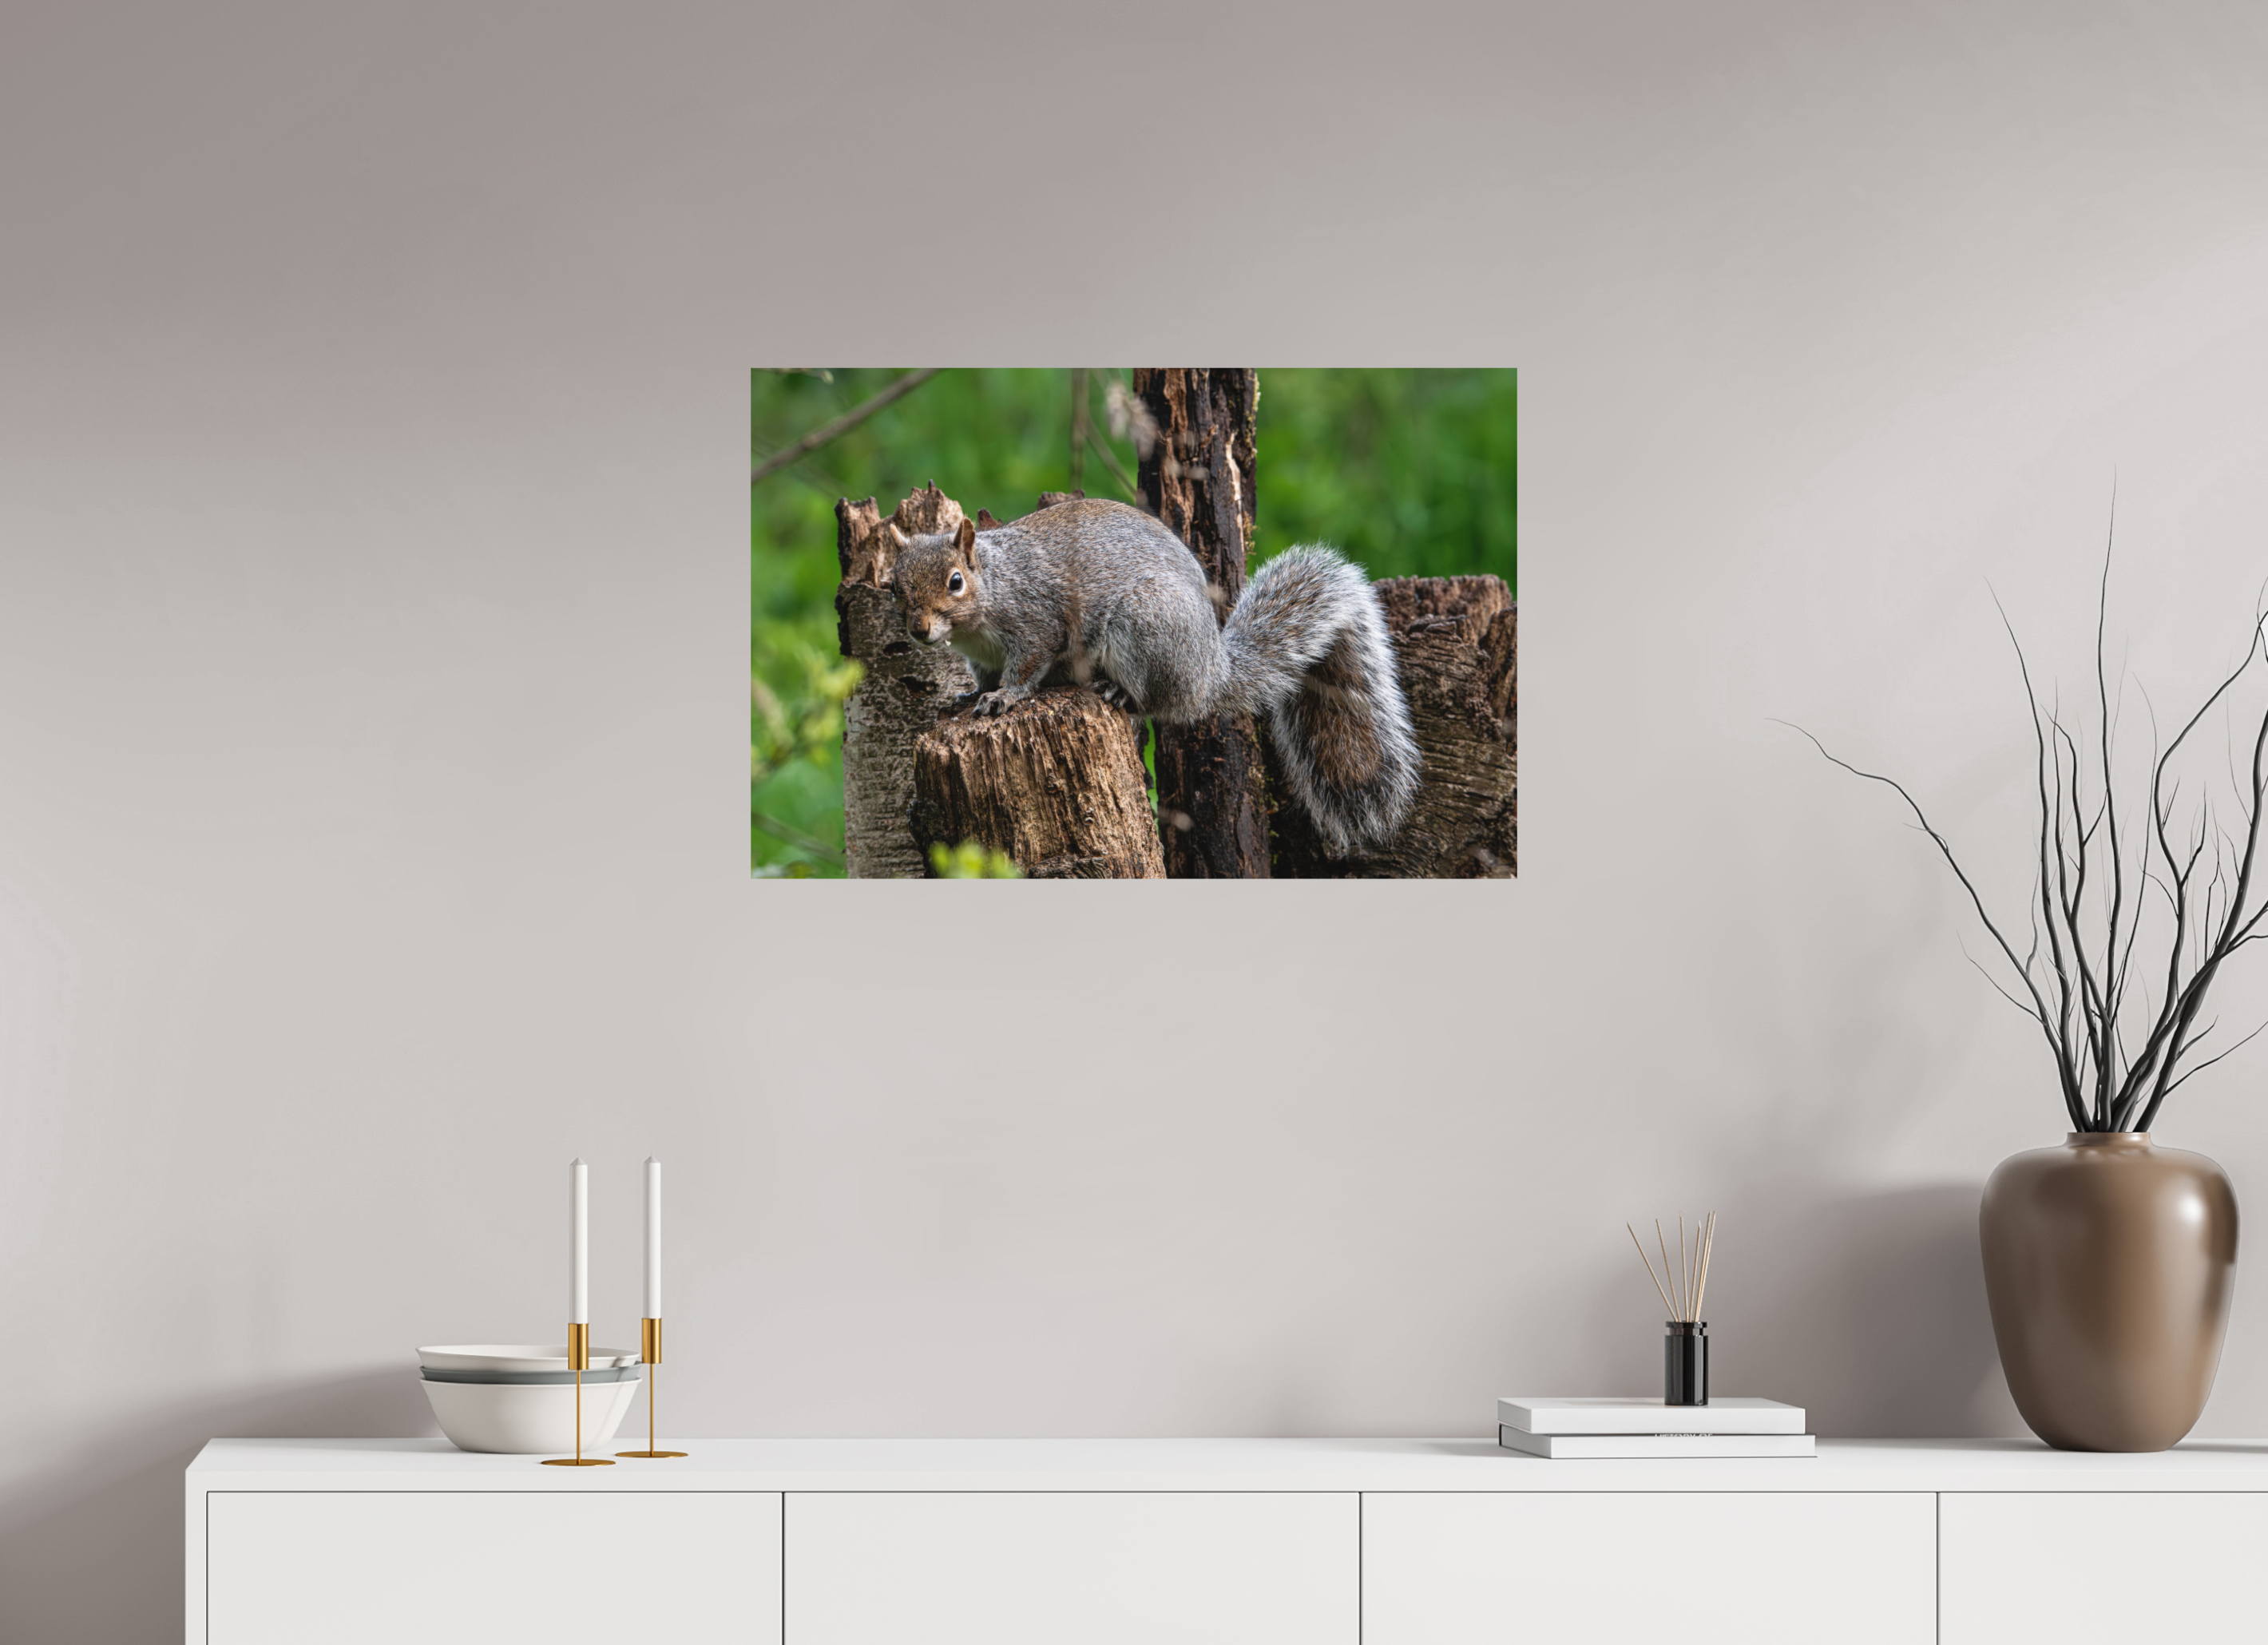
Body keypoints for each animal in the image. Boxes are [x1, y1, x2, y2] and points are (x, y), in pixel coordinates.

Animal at [887, 497, 1419, 856]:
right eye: (893, 586)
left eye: (955, 581)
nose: (918, 630)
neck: (993, 590)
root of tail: (1211, 673)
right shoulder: (981, 658)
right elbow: (981, 678)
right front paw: (966, 698)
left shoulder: (1036, 625)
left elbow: (1027, 668)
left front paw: (1005, 699)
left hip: (1146, 628)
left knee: (1158, 702)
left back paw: (1118, 692)